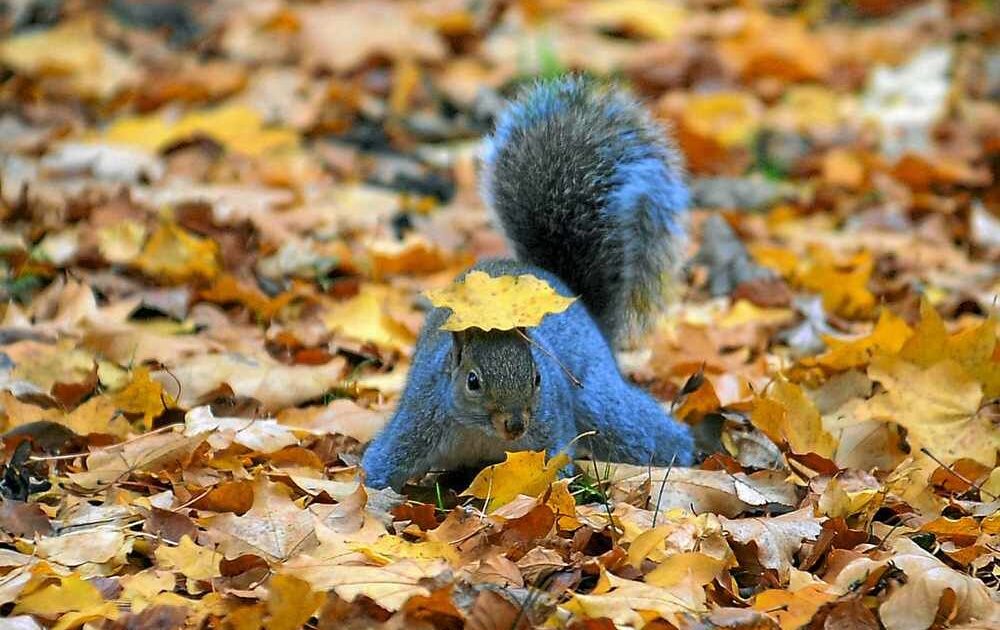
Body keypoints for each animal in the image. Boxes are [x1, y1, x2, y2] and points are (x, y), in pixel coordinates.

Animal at [362, 76, 696, 492]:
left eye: (538, 377)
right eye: (472, 381)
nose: (515, 424)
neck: (482, 434)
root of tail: (570, 294)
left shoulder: (551, 425)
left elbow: (553, 463)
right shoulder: (418, 422)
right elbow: (383, 464)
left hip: (599, 400)